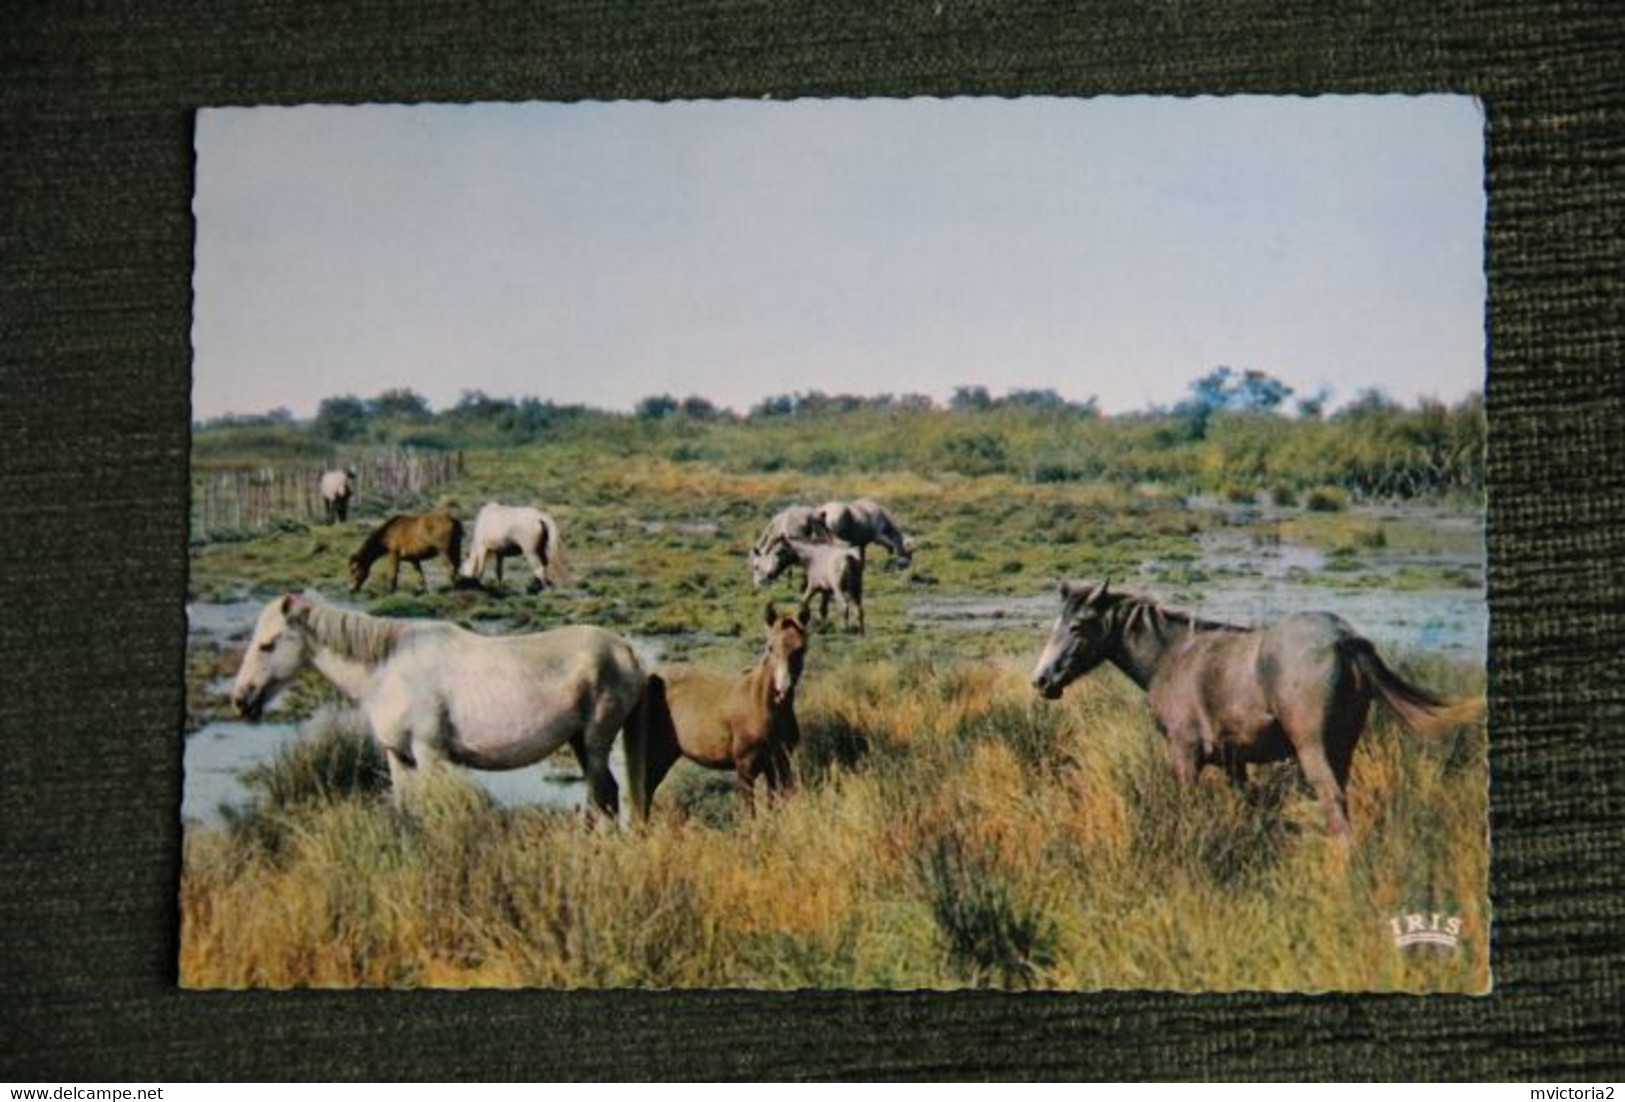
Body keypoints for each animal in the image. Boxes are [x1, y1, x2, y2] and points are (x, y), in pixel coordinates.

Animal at [230, 594, 659, 819]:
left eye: (267, 644)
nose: (240, 700)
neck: (390, 671)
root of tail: (627, 651)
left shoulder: (429, 753)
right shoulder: (399, 756)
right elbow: (407, 809)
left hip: (595, 741)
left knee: (602, 796)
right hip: (579, 742)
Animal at [630, 604, 819, 819]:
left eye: (801, 648)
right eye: (770, 647)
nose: (782, 691)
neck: (761, 707)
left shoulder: (778, 763)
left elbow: (775, 803)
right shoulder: (746, 768)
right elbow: (750, 812)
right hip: (654, 756)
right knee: (644, 793)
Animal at [1033, 581, 1482, 832]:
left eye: (1077, 626)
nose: (1041, 680)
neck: (1173, 656)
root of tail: (1343, 637)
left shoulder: (1184, 754)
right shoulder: (1234, 762)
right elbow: (1249, 806)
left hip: (1313, 751)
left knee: (1335, 808)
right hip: (1343, 749)